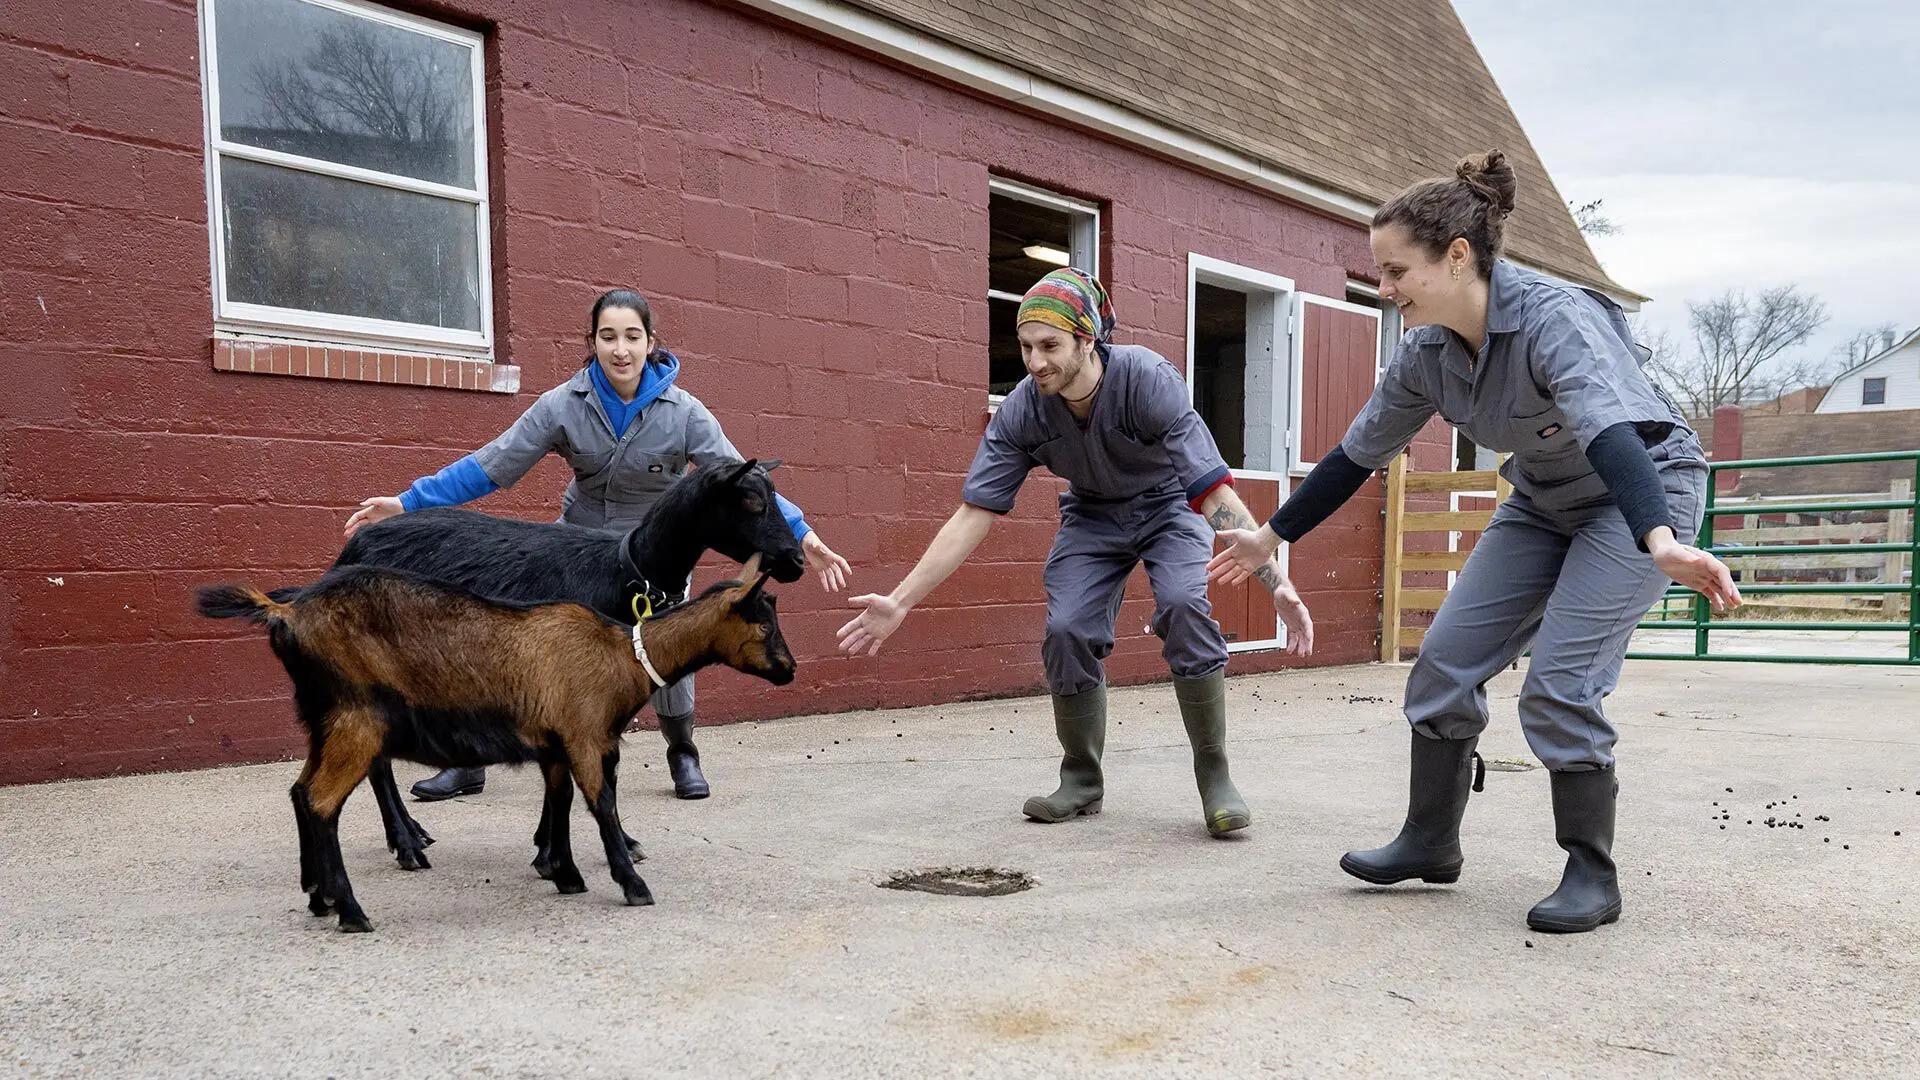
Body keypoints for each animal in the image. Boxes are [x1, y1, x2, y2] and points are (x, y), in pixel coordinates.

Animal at [197, 556, 794, 933]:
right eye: (763, 623)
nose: (790, 669)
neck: (620, 656)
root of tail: (286, 613)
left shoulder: (555, 744)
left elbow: (560, 802)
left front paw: (563, 871)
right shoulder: (583, 736)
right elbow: (601, 804)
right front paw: (630, 881)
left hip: (323, 719)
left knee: (300, 792)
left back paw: (318, 895)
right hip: (357, 718)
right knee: (323, 801)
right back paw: (351, 909)